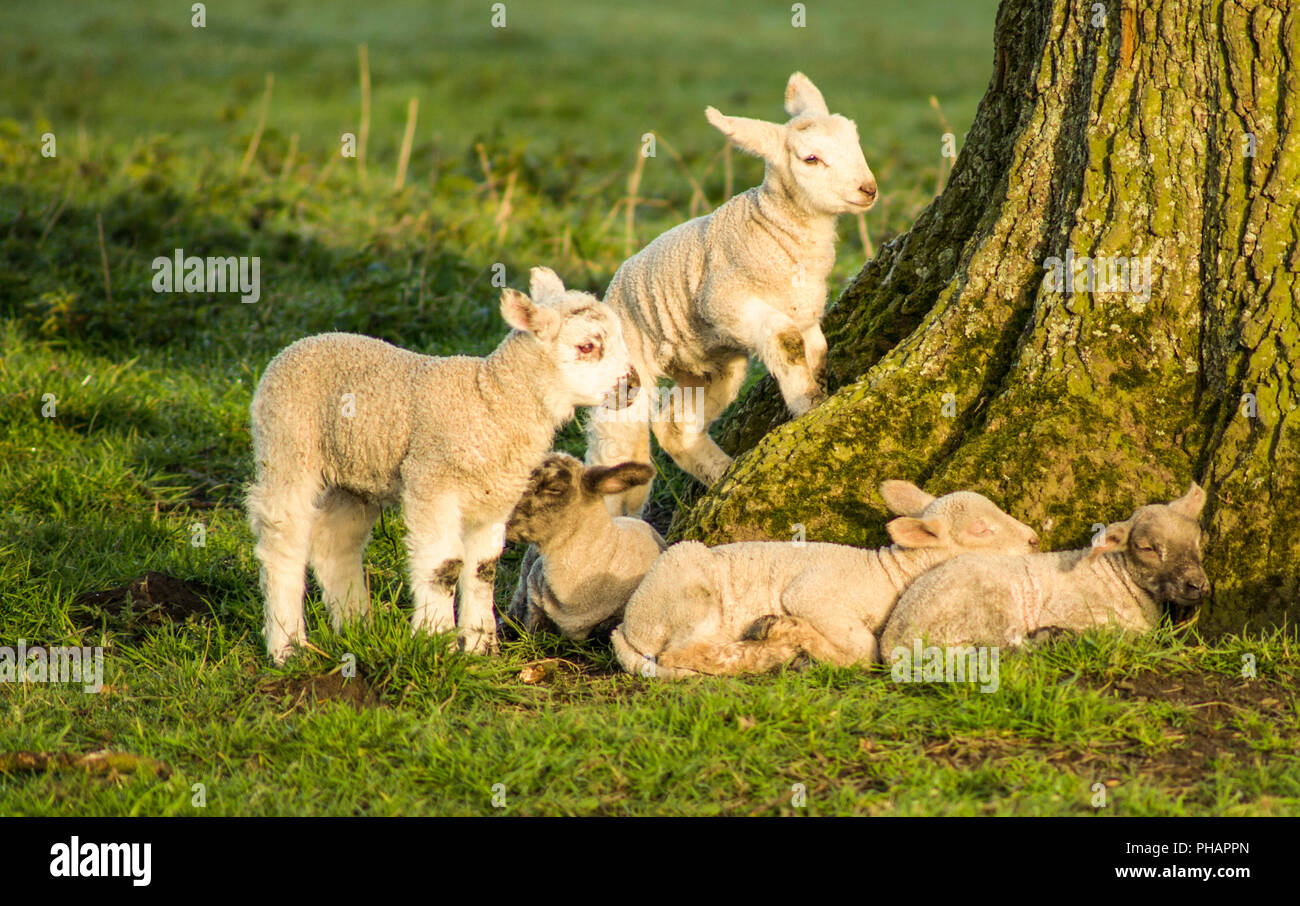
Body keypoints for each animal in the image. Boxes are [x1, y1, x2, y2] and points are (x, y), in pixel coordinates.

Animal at [246, 265, 634, 660]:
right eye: (587, 346)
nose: (631, 384)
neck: (493, 402)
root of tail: (305, 341)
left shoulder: (494, 499)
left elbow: (483, 569)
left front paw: (480, 647)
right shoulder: (433, 483)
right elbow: (444, 566)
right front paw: (435, 641)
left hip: (354, 475)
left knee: (334, 544)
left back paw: (356, 627)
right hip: (287, 446)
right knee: (282, 542)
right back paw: (287, 645)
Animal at [587, 70, 873, 514]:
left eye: (856, 142)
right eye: (811, 159)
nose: (868, 189)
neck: (772, 228)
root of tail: (612, 290)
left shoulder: (806, 313)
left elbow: (817, 351)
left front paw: (816, 389)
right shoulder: (725, 300)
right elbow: (786, 342)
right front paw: (810, 406)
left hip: (713, 364)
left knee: (675, 425)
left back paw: (722, 475)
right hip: (627, 366)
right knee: (614, 439)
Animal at [605, 480, 1034, 675]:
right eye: (981, 529)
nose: (1033, 539)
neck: (888, 574)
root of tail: (626, 626)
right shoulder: (812, 592)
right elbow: (863, 648)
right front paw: (804, 640)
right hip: (688, 596)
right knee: (684, 652)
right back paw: (773, 648)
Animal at [878, 483, 1211, 652]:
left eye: (1198, 540)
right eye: (1146, 547)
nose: (1197, 585)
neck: (1118, 576)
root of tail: (894, 642)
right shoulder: (1080, 612)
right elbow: (1127, 636)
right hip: (989, 611)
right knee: (1010, 649)